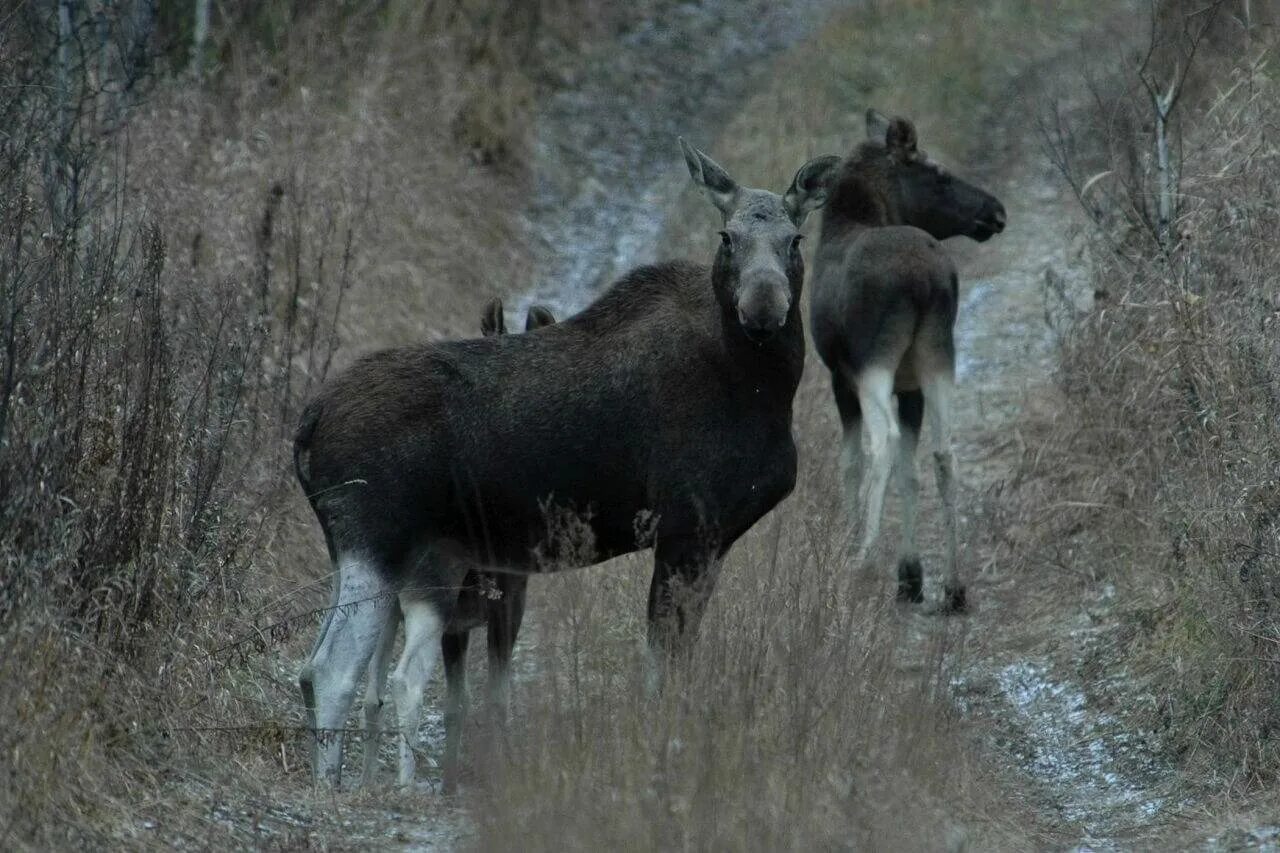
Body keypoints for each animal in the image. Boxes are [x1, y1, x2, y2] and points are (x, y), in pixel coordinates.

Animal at [294, 139, 844, 783]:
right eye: (727, 236)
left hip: (363, 553)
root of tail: (311, 419)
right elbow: (664, 660)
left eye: (795, 239)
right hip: (376, 540)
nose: (763, 306)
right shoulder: (688, 529)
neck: (765, 388)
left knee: (320, 668)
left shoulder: (707, 539)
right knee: (331, 669)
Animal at [808, 109, 1008, 607]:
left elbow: (851, 462)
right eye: (938, 174)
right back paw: (954, 584)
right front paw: (911, 572)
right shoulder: (911, 385)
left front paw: (856, 548)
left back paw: (862, 560)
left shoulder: (840, 377)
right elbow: (910, 471)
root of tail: (925, 280)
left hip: (873, 362)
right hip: (939, 354)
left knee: (882, 443)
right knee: (944, 452)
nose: (996, 211)